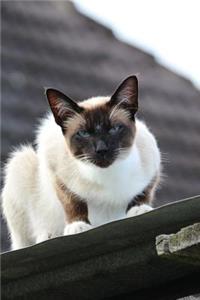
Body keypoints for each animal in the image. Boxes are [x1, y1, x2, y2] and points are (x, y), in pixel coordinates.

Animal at [1, 75, 161, 251]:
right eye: (83, 133)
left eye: (114, 129)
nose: (101, 149)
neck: (108, 176)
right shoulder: (56, 171)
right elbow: (73, 201)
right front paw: (78, 226)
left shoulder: (154, 165)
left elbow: (144, 191)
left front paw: (140, 209)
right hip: (20, 164)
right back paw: (47, 236)